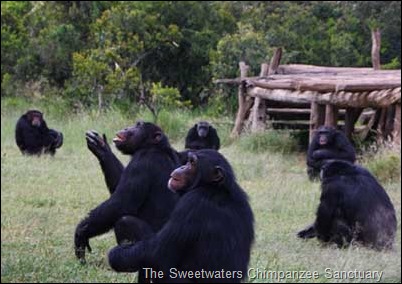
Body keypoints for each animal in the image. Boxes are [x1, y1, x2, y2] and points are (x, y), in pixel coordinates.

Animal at [74, 121, 181, 274]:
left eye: (139, 126)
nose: (127, 127)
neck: (153, 146)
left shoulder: (141, 162)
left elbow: (121, 203)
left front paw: (81, 232)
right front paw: (102, 148)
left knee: (125, 221)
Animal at [107, 150, 254, 282]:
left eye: (192, 163)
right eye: (188, 161)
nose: (182, 167)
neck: (215, 188)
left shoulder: (191, 204)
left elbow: (156, 254)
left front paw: (115, 255)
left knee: (126, 223)